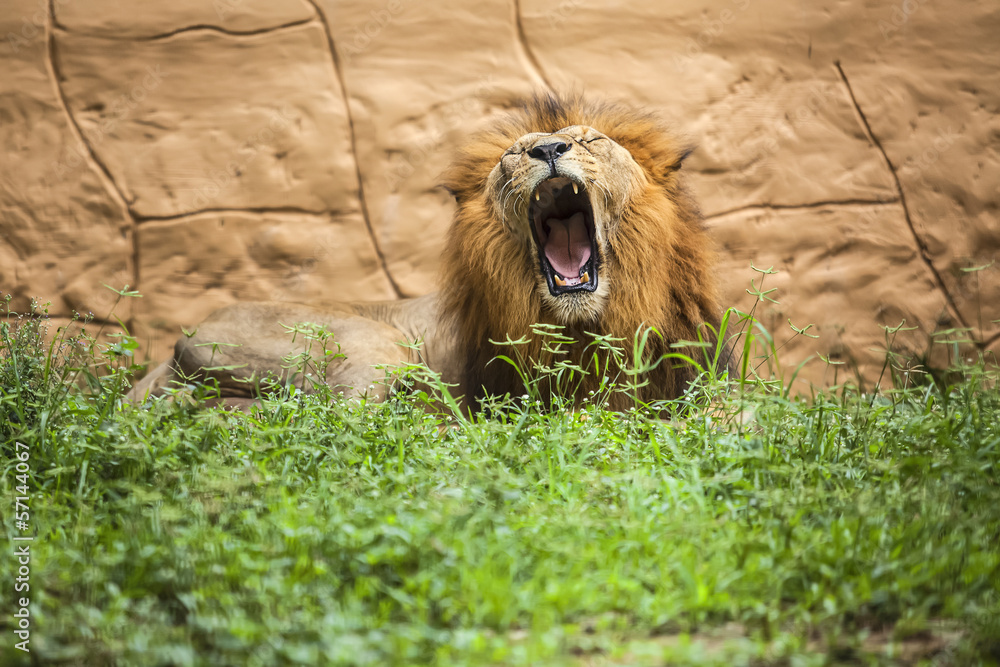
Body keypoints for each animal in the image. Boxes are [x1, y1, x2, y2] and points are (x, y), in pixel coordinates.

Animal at [129, 95, 730, 412]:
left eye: (590, 142)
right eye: (515, 154)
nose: (548, 149)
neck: (587, 326)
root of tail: (171, 349)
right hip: (375, 345)